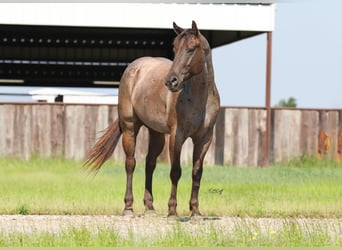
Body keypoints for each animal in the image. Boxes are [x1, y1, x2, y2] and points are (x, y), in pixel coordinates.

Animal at [84, 21, 220, 217]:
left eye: (191, 49)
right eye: (175, 47)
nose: (171, 81)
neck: (200, 98)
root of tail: (134, 67)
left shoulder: (204, 139)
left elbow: (196, 172)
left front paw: (195, 210)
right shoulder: (176, 136)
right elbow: (175, 171)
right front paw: (172, 211)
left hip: (156, 134)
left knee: (150, 164)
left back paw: (149, 207)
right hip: (130, 128)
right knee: (131, 164)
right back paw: (128, 207)